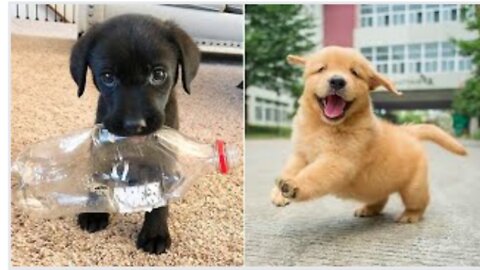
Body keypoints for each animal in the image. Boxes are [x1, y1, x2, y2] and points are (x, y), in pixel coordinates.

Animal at [68, 13, 200, 254]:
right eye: (108, 77)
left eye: (158, 74)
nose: (134, 125)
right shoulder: (101, 148)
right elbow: (98, 180)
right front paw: (94, 212)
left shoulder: (163, 157)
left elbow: (160, 199)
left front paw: (155, 233)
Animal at [272, 47, 466, 224]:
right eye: (321, 69)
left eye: (355, 72)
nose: (337, 81)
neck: (323, 126)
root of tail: (406, 131)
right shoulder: (300, 154)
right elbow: (290, 169)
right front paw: (278, 193)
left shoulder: (338, 160)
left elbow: (314, 174)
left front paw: (294, 185)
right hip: (376, 186)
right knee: (381, 198)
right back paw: (369, 209)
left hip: (414, 187)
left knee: (420, 202)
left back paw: (410, 216)